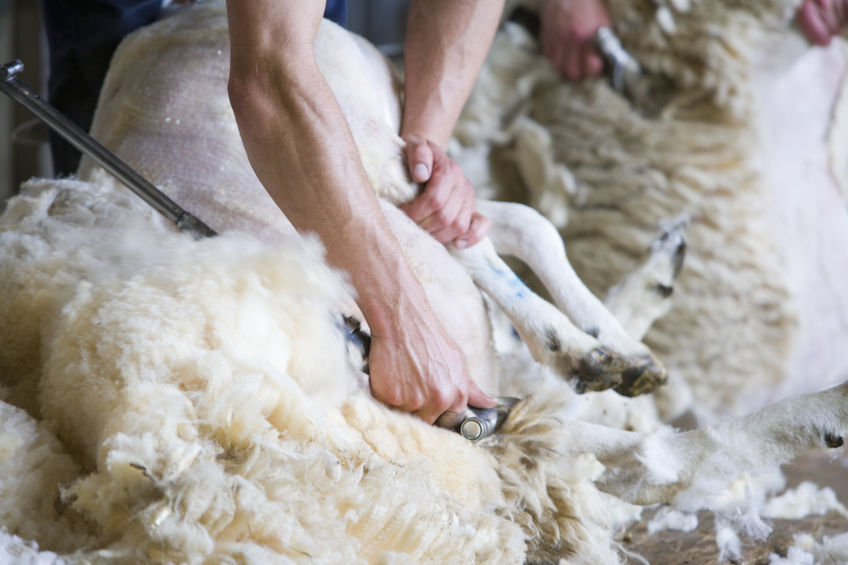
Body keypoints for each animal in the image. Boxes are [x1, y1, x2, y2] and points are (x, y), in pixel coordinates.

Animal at [1, 0, 848, 560]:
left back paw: (607, 338)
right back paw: (613, 345)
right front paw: (824, 413)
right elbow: (672, 457)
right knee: (505, 251)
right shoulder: (499, 438)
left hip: (366, 150)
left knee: (497, 230)